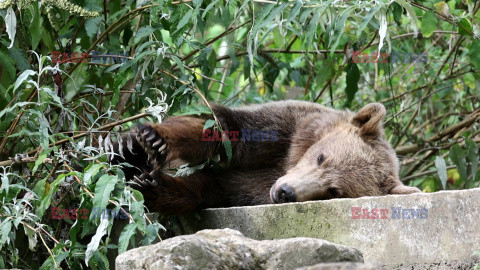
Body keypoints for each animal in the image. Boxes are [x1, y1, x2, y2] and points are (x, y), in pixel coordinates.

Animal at [112, 100, 420, 216]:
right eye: (321, 157)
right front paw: (155, 139)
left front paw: (152, 186)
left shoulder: (242, 191)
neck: (287, 160)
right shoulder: (284, 129)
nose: (285, 191)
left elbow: (202, 189)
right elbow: (227, 131)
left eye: (334, 191)